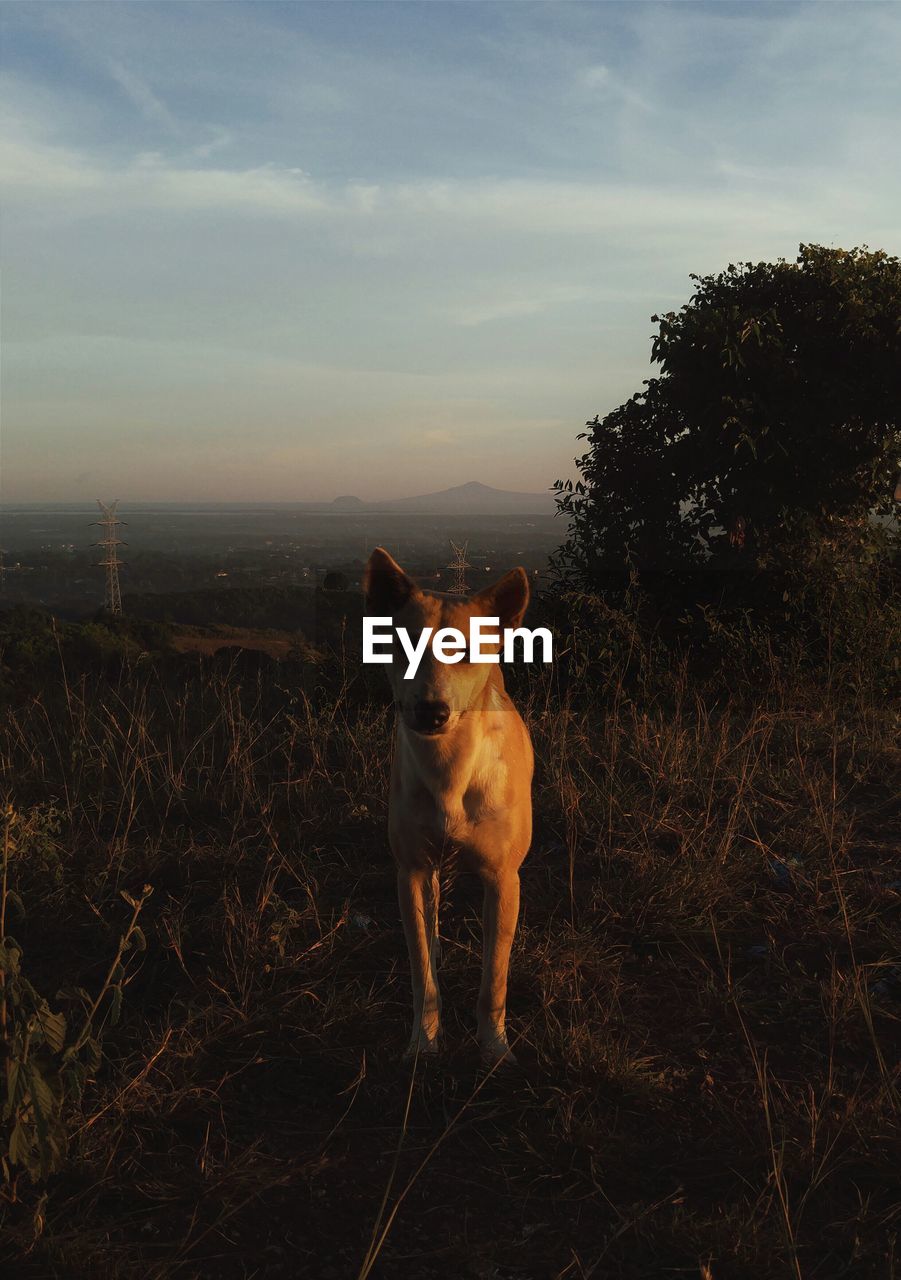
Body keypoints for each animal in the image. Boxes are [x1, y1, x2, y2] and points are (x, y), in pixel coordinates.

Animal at [363, 547, 534, 1059]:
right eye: (403, 643)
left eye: (465, 650)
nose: (431, 711)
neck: (451, 769)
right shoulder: (412, 871)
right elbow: (423, 975)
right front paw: (424, 1041)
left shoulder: (503, 878)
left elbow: (494, 978)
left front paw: (494, 1047)